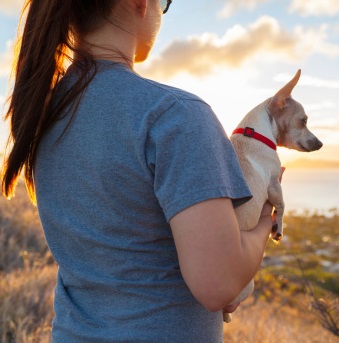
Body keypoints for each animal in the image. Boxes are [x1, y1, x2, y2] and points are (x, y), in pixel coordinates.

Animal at [224, 70, 322, 322]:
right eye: (304, 120)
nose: (320, 143)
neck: (255, 134)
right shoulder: (274, 185)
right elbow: (282, 205)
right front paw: (278, 228)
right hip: (248, 285)